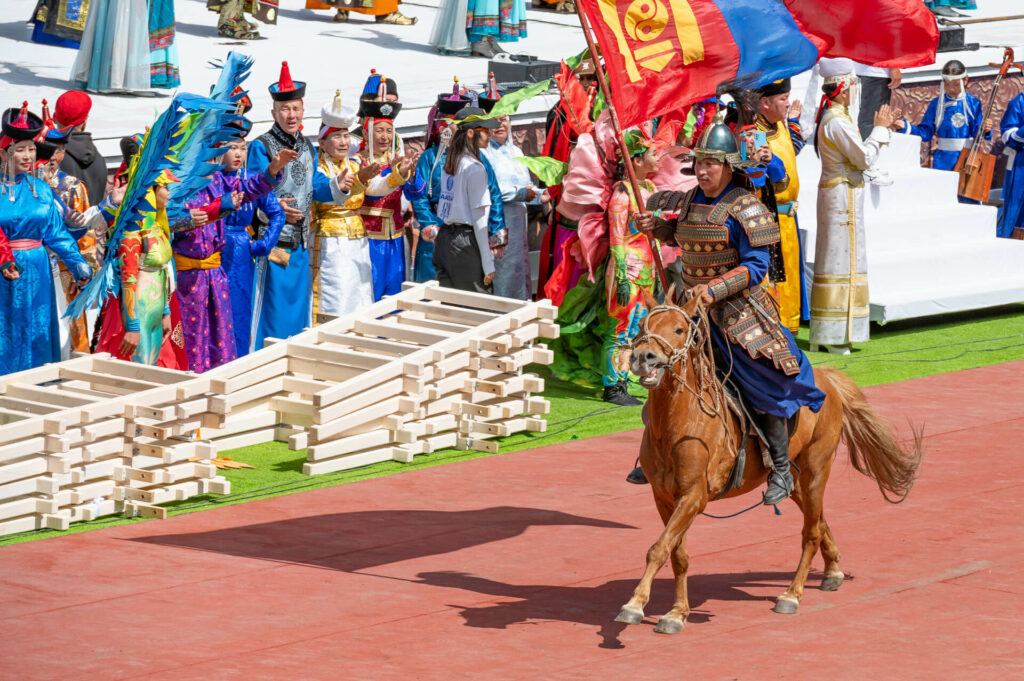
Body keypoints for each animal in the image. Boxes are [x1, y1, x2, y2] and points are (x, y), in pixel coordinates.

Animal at [614, 292, 921, 630]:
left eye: (680, 329)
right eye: (644, 324)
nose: (644, 357)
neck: (678, 424)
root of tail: (827, 379)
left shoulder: (693, 497)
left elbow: (659, 549)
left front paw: (635, 604)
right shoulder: (664, 497)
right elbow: (676, 553)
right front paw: (677, 611)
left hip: (816, 469)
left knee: (810, 532)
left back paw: (792, 594)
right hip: (796, 481)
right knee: (818, 519)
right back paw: (832, 570)